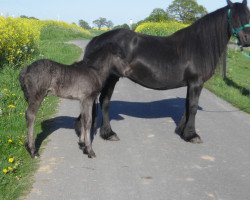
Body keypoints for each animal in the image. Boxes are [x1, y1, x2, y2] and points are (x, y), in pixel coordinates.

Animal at [81, 0, 248, 144]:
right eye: (234, 17)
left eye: (248, 16)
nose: (246, 40)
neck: (198, 45)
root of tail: (98, 39)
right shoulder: (196, 82)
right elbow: (193, 107)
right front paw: (192, 135)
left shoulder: (190, 83)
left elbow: (187, 105)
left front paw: (181, 131)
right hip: (111, 78)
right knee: (104, 101)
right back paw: (108, 133)